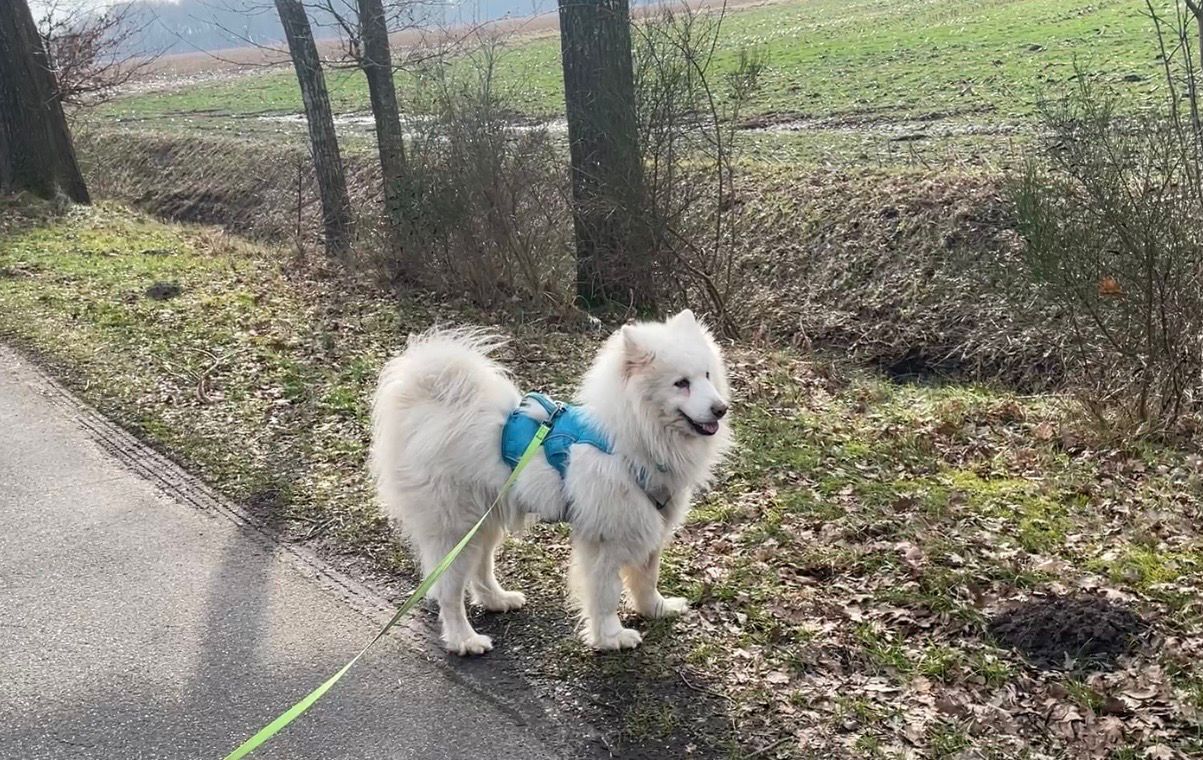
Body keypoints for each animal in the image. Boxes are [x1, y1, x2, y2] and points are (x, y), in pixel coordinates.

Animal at [369, 310, 731, 655]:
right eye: (681, 383)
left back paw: (498, 600)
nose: (721, 408)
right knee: (449, 591)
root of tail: (426, 407)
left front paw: (656, 609)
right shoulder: (606, 536)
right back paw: (465, 640)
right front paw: (611, 637)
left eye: (706, 376)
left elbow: (647, 576)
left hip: (485, 520)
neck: (631, 437)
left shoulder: (650, 521)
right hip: (456, 528)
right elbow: (606, 593)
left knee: (480, 569)